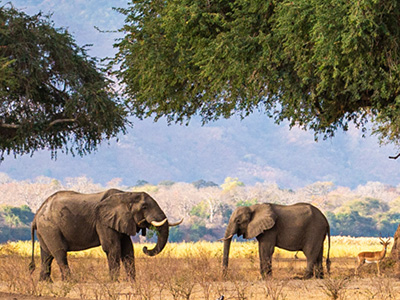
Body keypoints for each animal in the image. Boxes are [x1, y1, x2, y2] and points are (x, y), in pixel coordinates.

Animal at [28, 190, 182, 282]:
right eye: (144, 207)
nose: (145, 247)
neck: (126, 194)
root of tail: (36, 215)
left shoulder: (121, 221)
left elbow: (128, 249)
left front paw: (132, 282)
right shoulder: (103, 221)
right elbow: (113, 247)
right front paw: (115, 282)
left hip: (45, 229)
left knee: (46, 255)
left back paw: (46, 282)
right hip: (50, 227)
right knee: (59, 252)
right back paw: (70, 281)